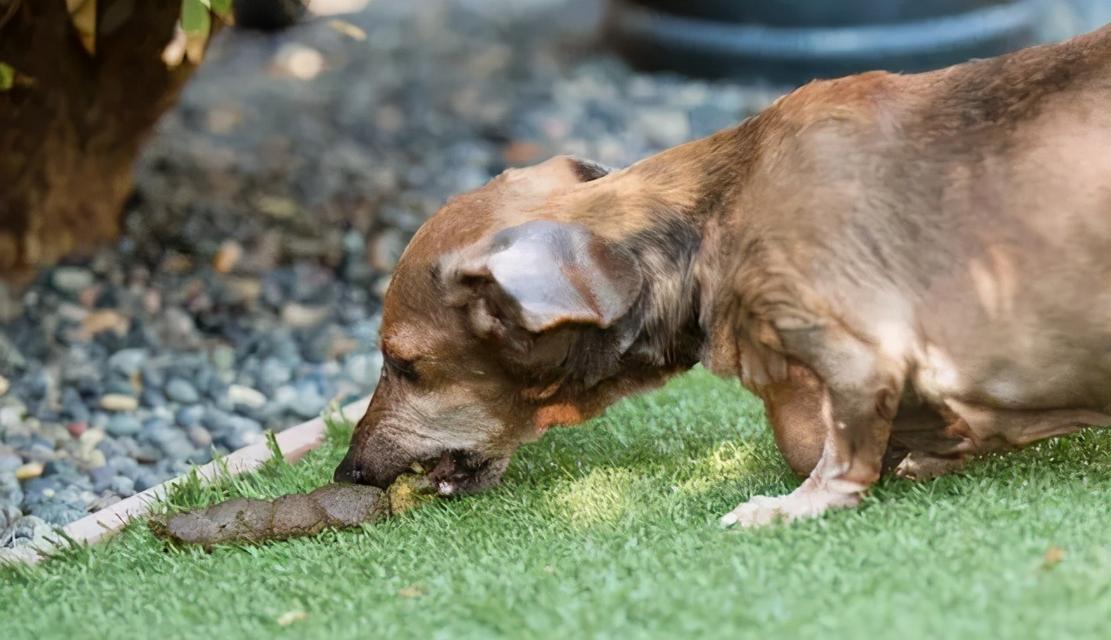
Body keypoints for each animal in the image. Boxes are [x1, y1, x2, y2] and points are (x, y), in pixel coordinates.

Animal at [333, 23, 1111, 524]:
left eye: (404, 365)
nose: (347, 472)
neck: (717, 213)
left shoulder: (859, 355)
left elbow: (831, 456)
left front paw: (788, 507)